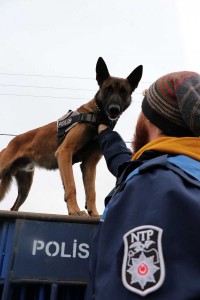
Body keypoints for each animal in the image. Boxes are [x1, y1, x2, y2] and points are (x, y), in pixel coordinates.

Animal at [0, 56, 143, 216]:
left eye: (124, 92)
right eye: (108, 89)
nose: (114, 109)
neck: (96, 115)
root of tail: (9, 144)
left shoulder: (89, 164)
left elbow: (91, 191)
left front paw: (93, 213)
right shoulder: (64, 153)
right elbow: (71, 186)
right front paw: (75, 210)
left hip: (25, 186)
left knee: (14, 208)